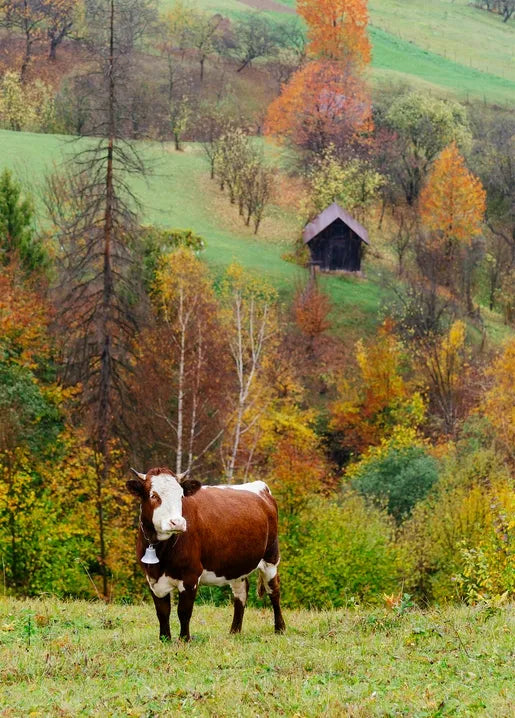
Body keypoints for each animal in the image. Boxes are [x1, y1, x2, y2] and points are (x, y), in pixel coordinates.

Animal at [127, 467, 286, 641]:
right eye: (153, 496)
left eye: (181, 496)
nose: (178, 522)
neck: (161, 553)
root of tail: (262, 488)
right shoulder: (152, 578)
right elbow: (162, 612)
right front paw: (164, 639)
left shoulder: (190, 576)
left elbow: (184, 612)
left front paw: (184, 640)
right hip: (237, 564)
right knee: (241, 592)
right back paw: (234, 631)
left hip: (271, 557)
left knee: (274, 590)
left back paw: (280, 628)